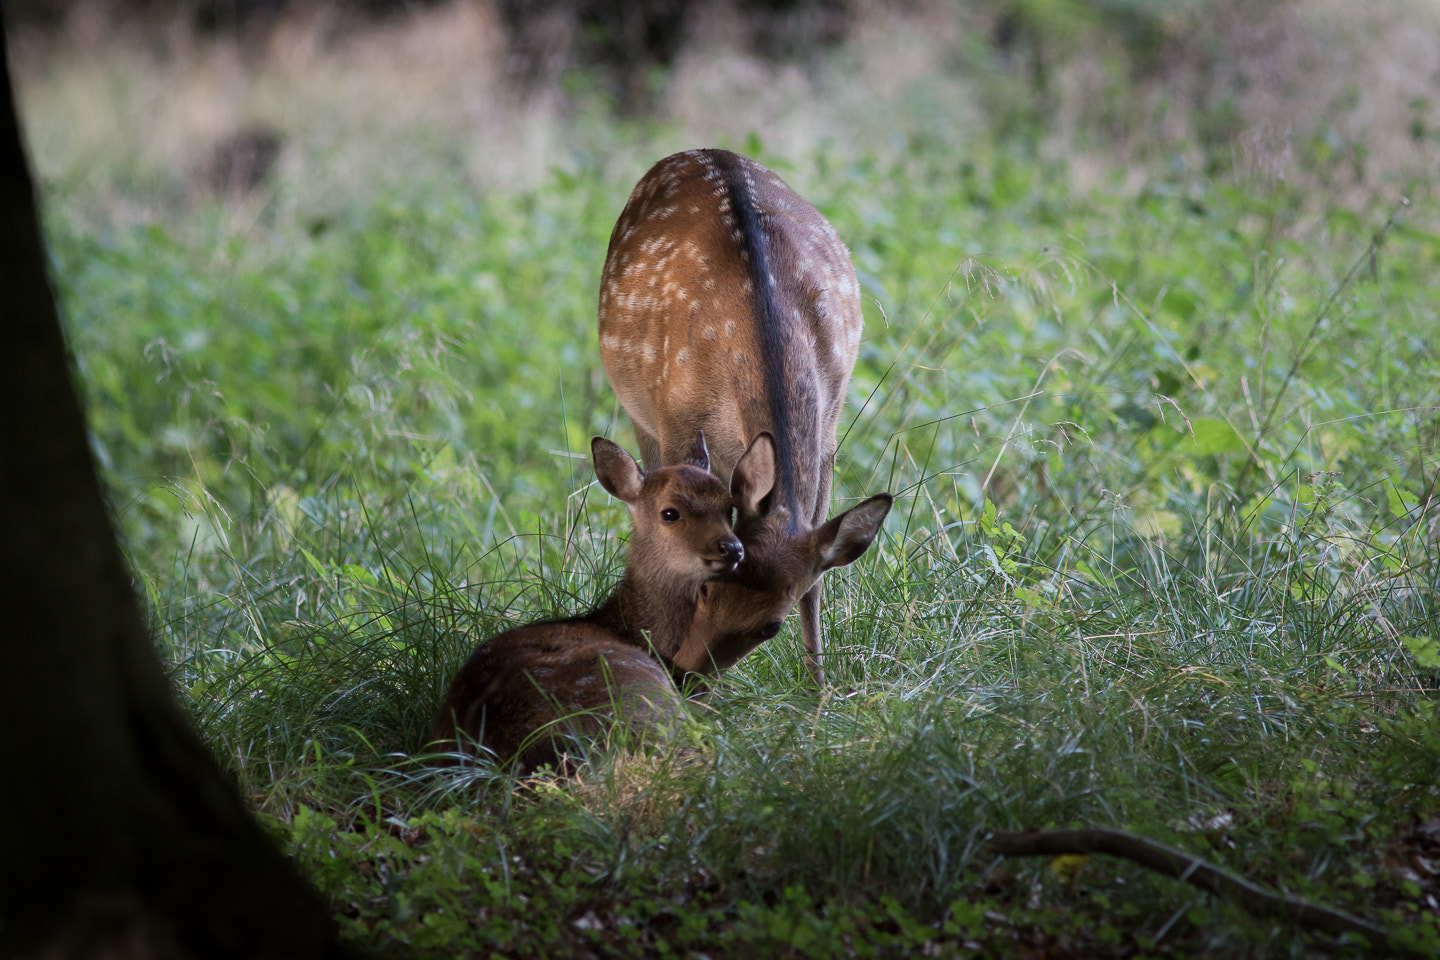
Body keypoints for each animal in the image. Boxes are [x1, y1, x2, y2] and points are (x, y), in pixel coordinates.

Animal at [599, 148, 887, 682]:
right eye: (706, 588)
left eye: (771, 625)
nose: (685, 677)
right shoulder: (676, 421)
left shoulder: (829, 432)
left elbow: (817, 581)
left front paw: (819, 690)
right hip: (642, 415)